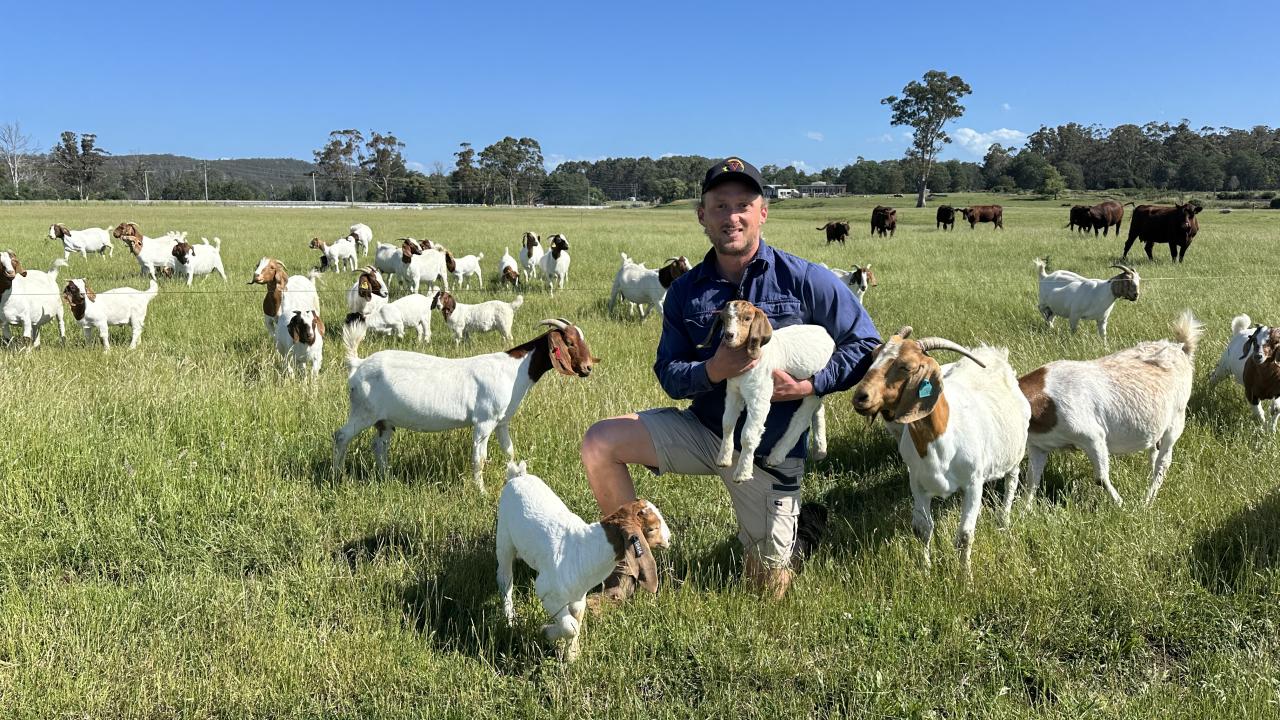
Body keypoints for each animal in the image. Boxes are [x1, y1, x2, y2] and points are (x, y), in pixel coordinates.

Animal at [332, 315, 596, 486]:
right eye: (569, 342)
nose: (587, 368)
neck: (515, 369)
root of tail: (357, 365)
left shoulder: (501, 422)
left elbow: (509, 451)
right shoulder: (484, 422)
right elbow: (479, 459)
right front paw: (480, 491)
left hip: (384, 420)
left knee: (379, 445)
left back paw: (386, 478)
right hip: (363, 411)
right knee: (342, 435)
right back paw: (338, 476)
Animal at [494, 458, 670, 661]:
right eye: (652, 528)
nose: (669, 539)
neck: (586, 550)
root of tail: (517, 476)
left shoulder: (578, 596)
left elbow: (576, 618)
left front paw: (572, 655)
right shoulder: (547, 592)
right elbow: (570, 626)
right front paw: (546, 632)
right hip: (504, 538)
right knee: (505, 580)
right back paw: (509, 618)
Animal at [696, 298, 834, 481]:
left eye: (747, 318)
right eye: (724, 319)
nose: (729, 335)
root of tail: (827, 335)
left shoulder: (758, 398)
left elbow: (748, 436)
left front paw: (742, 473)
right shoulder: (734, 392)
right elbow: (727, 423)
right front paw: (724, 458)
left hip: (812, 385)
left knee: (801, 418)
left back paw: (776, 456)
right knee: (819, 409)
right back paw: (820, 450)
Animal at [849, 326, 1029, 571]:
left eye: (906, 366)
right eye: (874, 356)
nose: (860, 397)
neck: (941, 440)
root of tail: (993, 354)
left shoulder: (973, 483)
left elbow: (965, 536)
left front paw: (965, 575)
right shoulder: (917, 482)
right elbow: (923, 529)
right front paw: (925, 570)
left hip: (1015, 455)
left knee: (1011, 483)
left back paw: (1003, 522)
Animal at [1013, 311, 1203, 507]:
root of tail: (1180, 349)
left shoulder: (1093, 437)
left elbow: (1100, 478)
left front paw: (1120, 504)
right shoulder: (1039, 445)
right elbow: (1032, 480)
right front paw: (1025, 509)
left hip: (1177, 419)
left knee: (1163, 462)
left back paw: (1147, 501)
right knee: (1154, 452)